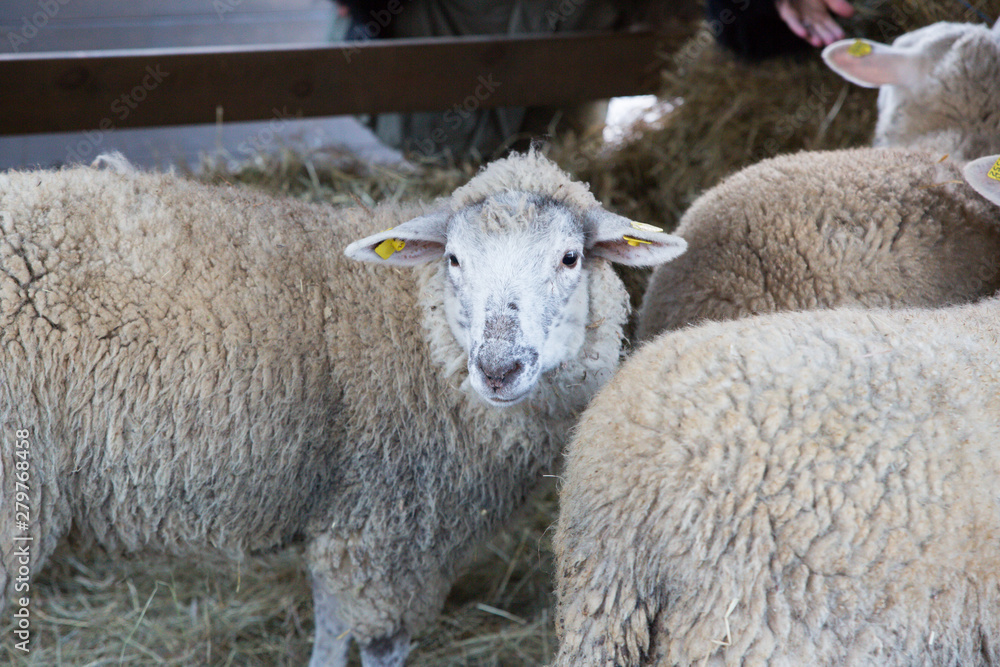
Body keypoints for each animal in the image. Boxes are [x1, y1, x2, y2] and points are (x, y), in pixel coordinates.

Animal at [0, 151, 688, 667]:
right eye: (454, 259)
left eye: (569, 258)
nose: (498, 368)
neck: (412, 328)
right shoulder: (389, 526)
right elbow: (382, 645)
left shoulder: (349, 512)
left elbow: (330, 625)